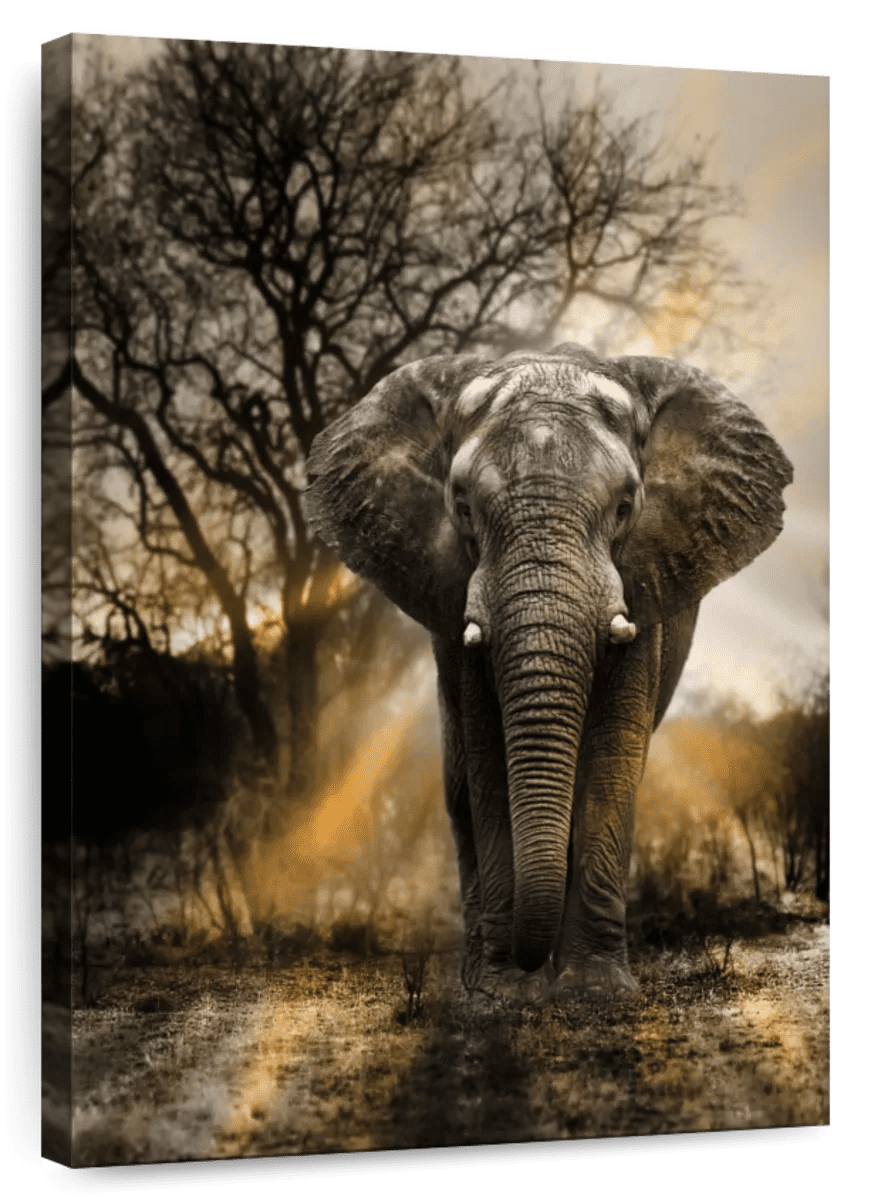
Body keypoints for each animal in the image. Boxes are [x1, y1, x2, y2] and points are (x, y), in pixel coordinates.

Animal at [306, 344, 793, 1001]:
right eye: (462, 507)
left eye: (625, 507)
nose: (527, 964)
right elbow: (488, 762)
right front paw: (504, 995)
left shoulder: (644, 580)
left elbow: (613, 757)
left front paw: (595, 991)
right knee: (459, 791)